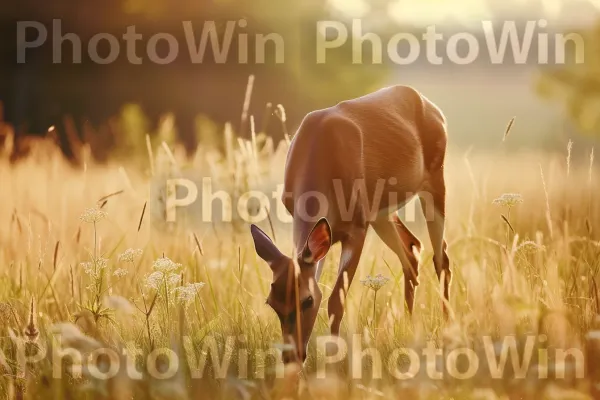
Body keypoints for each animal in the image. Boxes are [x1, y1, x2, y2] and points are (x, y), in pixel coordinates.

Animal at [248, 85, 450, 366]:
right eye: (271, 303)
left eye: (307, 300)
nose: (292, 357)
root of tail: (433, 108)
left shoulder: (356, 228)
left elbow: (336, 300)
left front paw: (334, 356)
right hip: (379, 213)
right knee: (411, 250)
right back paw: (411, 326)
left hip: (435, 179)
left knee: (442, 259)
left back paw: (448, 326)